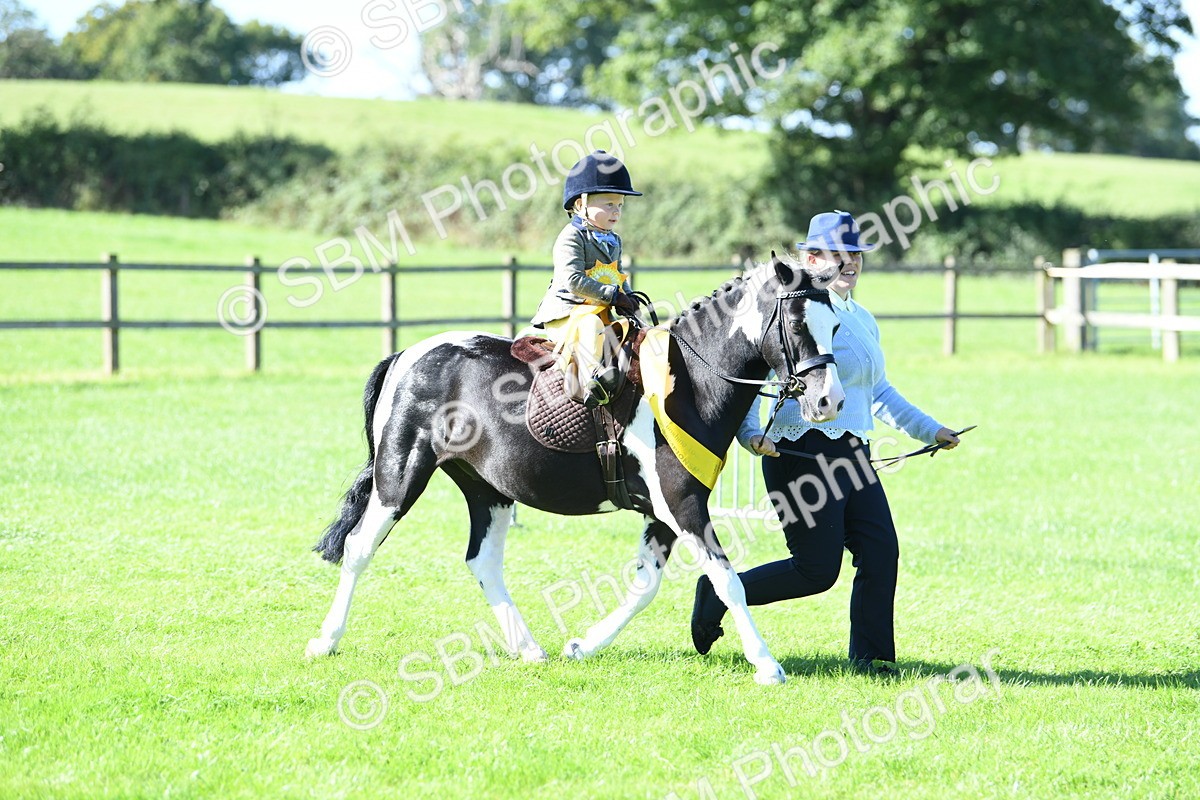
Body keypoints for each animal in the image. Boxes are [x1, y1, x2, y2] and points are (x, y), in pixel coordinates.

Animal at [305, 254, 845, 684]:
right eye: (798, 326)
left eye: (836, 327)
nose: (829, 402)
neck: (686, 381)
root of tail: (408, 354)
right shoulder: (682, 505)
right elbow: (727, 580)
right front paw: (767, 666)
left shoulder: (662, 513)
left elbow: (645, 586)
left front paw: (584, 644)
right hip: (400, 477)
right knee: (359, 547)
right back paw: (325, 641)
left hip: (487, 490)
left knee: (483, 563)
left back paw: (529, 649)